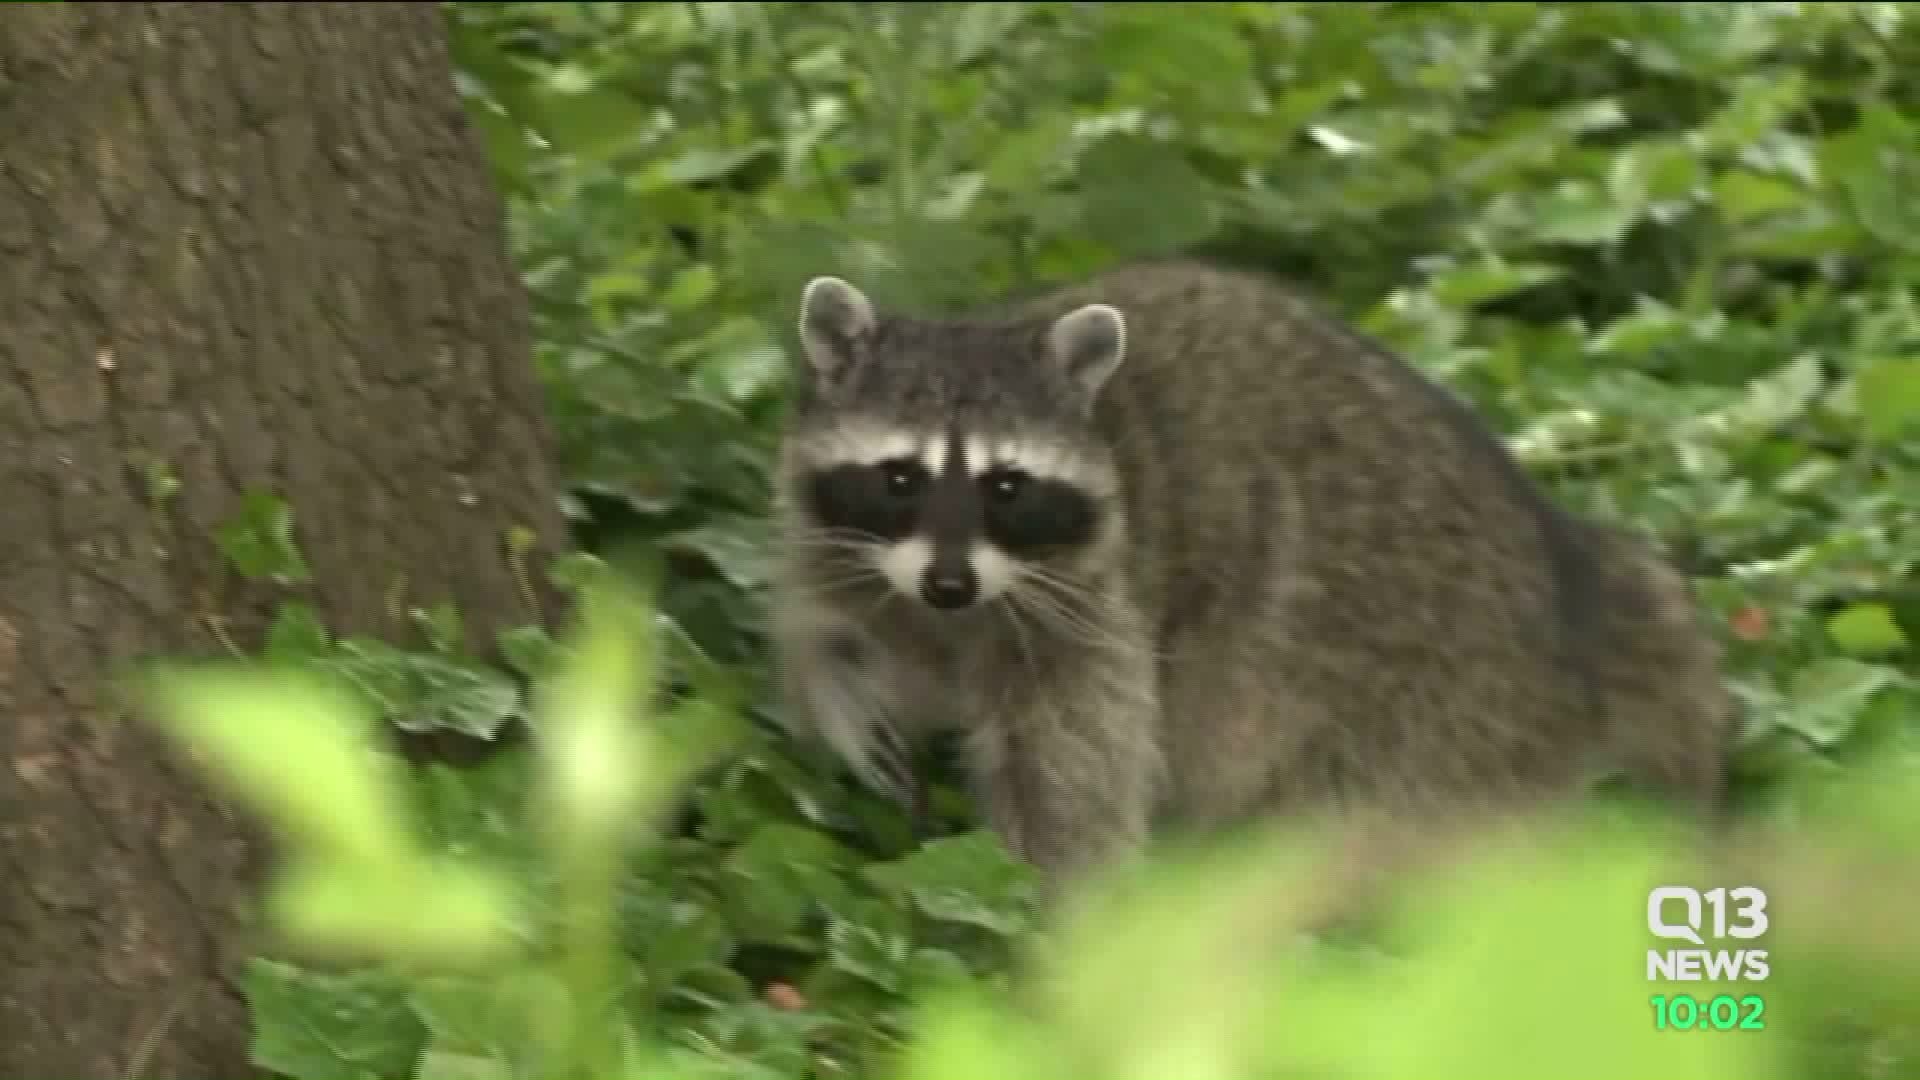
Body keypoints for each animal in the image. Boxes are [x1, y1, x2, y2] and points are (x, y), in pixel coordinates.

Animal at [766, 258, 1731, 890]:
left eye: (1008, 486)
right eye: (901, 477)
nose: (950, 586)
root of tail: (1571, 590)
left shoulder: (1096, 605)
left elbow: (1073, 787)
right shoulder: (857, 554)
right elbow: (831, 624)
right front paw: (842, 681)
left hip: (1434, 703)